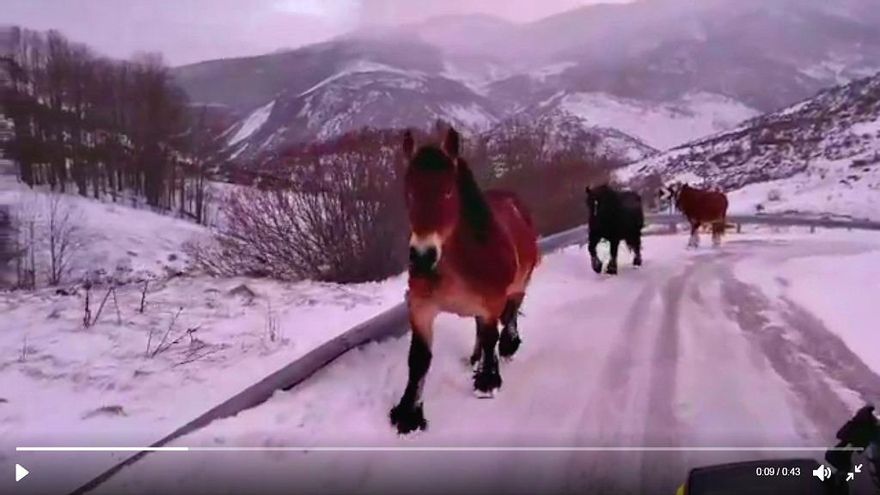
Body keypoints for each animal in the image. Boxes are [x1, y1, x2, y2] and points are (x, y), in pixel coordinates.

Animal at [390, 127, 540, 434]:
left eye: (448, 190)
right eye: (410, 192)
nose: (422, 256)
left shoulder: (492, 302)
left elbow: (491, 336)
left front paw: (487, 382)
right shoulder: (421, 308)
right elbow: (419, 359)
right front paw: (408, 413)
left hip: (519, 285)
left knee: (509, 314)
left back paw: (507, 347)